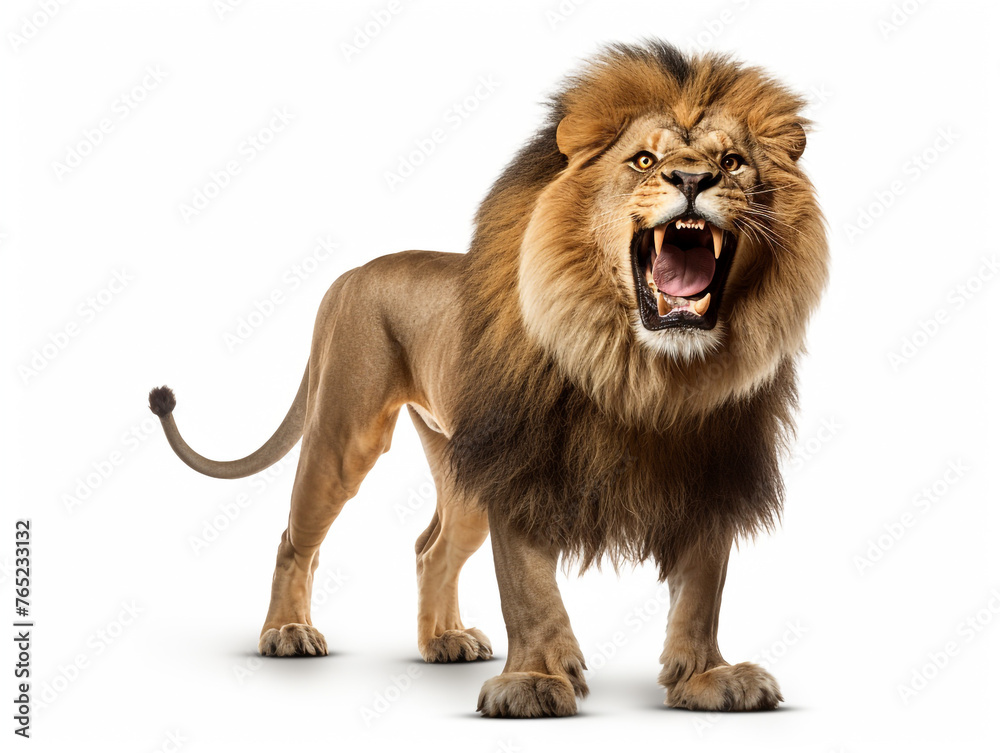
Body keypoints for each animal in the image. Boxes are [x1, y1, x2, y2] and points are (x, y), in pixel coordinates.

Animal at [148, 41, 827, 717]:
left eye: (733, 163)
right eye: (645, 160)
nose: (691, 180)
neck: (645, 372)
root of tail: (352, 273)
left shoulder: (714, 472)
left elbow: (701, 593)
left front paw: (709, 678)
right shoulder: (518, 465)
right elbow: (527, 588)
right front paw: (535, 682)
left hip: (458, 466)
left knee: (432, 548)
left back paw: (444, 641)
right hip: (346, 434)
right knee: (294, 538)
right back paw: (287, 632)